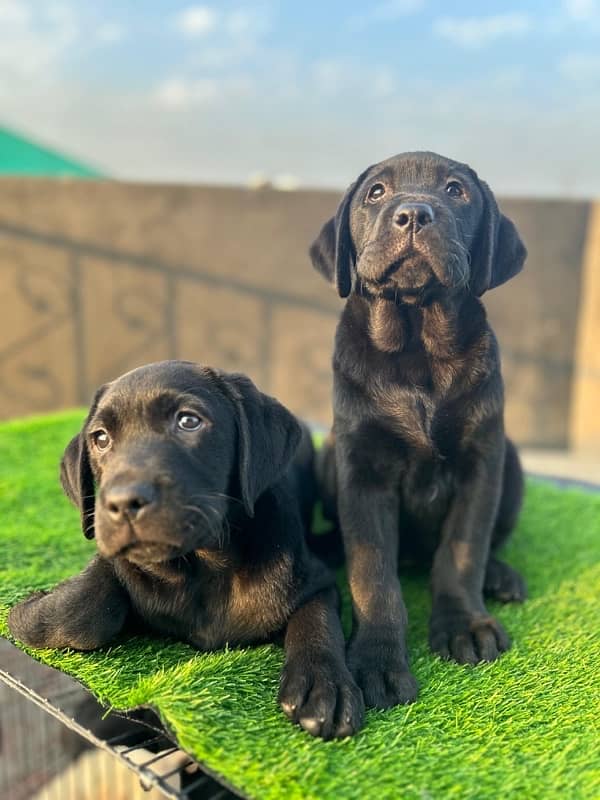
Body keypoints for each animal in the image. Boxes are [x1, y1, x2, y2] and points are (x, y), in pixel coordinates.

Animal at [9, 360, 364, 736]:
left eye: (188, 421)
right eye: (101, 439)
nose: (122, 503)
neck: (203, 567)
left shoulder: (315, 580)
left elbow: (317, 621)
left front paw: (323, 685)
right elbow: (80, 608)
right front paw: (35, 605)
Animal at [312, 153, 528, 708]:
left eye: (456, 191)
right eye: (376, 192)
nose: (412, 214)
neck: (417, 347)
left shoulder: (480, 463)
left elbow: (464, 550)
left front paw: (464, 624)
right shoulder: (363, 473)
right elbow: (373, 576)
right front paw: (377, 660)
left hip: (512, 462)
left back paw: (501, 576)